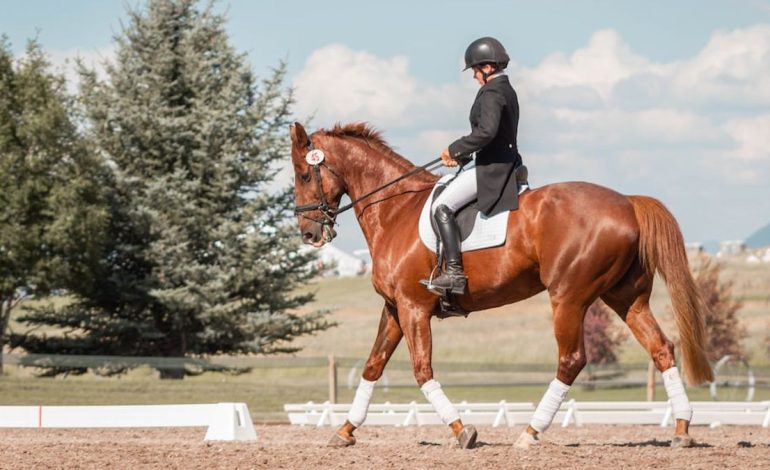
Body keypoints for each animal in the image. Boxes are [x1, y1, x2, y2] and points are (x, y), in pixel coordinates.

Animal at [288, 122, 708, 452]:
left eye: (305, 175)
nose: (308, 234)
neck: (395, 210)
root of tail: (627, 203)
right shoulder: (394, 308)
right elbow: (373, 366)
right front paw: (344, 431)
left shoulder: (413, 307)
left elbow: (422, 370)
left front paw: (463, 431)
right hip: (625, 297)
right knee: (661, 348)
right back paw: (682, 429)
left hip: (568, 298)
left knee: (571, 360)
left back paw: (530, 433)